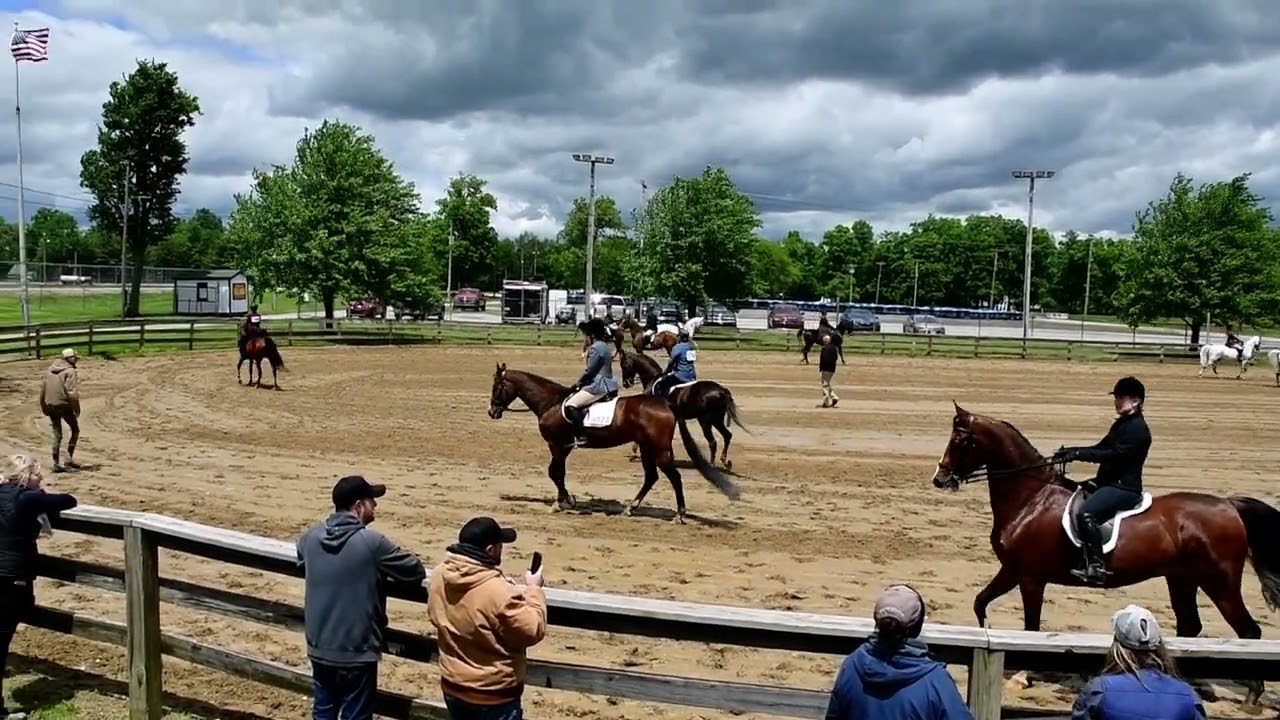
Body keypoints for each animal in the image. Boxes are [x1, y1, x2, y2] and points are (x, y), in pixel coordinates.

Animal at [487, 363, 741, 521]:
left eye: (497, 387)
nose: (492, 412)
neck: (551, 402)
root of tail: (666, 404)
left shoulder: (557, 445)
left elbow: (555, 472)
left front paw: (564, 501)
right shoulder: (564, 448)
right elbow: (558, 472)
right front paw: (566, 499)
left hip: (660, 449)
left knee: (674, 477)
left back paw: (679, 514)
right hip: (647, 448)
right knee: (651, 477)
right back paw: (630, 508)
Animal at [618, 348, 748, 470]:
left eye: (624, 365)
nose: (626, 383)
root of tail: (722, 391)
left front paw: (634, 450)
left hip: (706, 420)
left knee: (713, 442)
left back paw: (712, 465)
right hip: (716, 420)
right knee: (727, 436)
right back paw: (725, 462)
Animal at [932, 402, 1280, 706]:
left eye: (960, 441)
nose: (940, 478)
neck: (1031, 498)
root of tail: (1229, 505)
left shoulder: (1029, 576)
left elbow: (1031, 625)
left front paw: (1021, 674)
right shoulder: (1012, 570)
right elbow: (980, 602)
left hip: (1219, 582)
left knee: (1248, 631)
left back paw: (1251, 697)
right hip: (1182, 579)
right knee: (1190, 628)